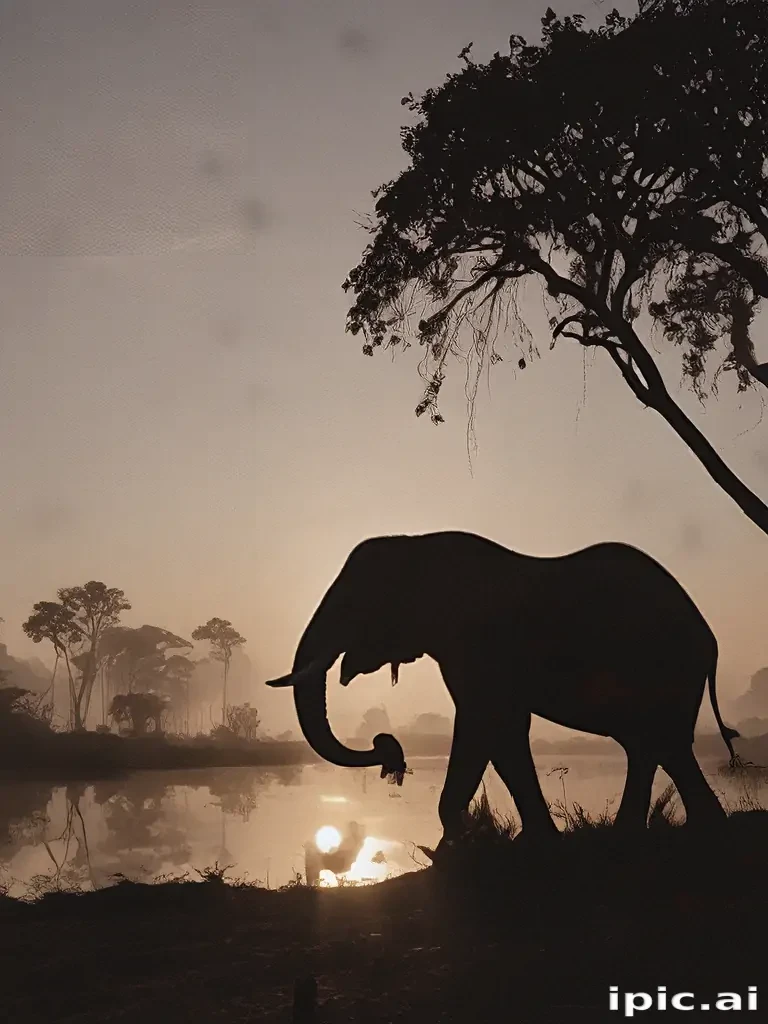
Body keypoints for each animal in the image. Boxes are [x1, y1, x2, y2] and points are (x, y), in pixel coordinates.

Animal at [266, 531, 739, 849]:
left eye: (352, 603)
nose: (391, 753)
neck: (417, 543)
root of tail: (711, 638)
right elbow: (504, 733)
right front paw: (533, 842)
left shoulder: (478, 642)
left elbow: (483, 723)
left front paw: (457, 846)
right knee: (653, 744)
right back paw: (660, 832)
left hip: (665, 666)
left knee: (659, 741)